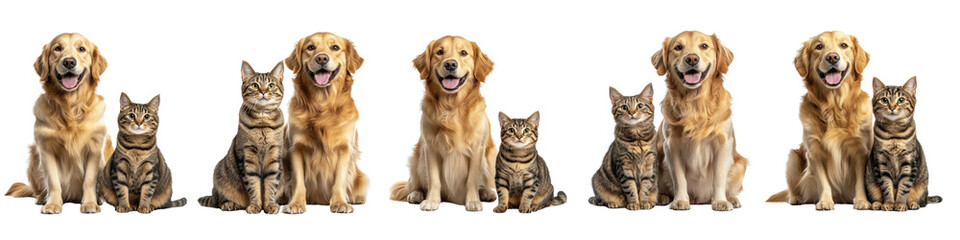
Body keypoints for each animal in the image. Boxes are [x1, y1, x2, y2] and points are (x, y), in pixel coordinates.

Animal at [196, 60, 284, 214]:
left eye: (271, 85)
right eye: (255, 85)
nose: (263, 91)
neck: (262, 121)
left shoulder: (275, 157)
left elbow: (271, 186)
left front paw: (270, 205)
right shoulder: (247, 157)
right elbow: (253, 186)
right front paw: (255, 205)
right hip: (219, 174)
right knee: (219, 201)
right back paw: (230, 204)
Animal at [868, 76, 940, 210]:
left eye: (901, 100)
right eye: (884, 100)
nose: (892, 107)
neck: (894, 133)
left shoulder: (909, 163)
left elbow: (904, 186)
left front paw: (900, 203)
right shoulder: (881, 163)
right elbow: (886, 187)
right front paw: (889, 203)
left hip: (922, 187)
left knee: (923, 202)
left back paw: (913, 203)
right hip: (870, 184)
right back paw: (877, 203)